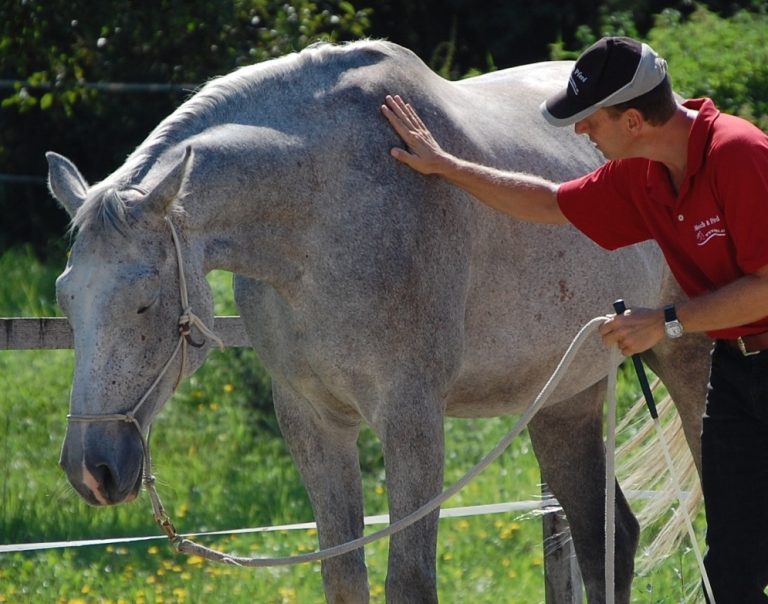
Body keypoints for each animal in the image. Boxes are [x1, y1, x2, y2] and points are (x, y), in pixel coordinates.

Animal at [48, 40, 712, 600]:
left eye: (144, 301)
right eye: (66, 299)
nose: (91, 469)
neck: (326, 209)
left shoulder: (411, 418)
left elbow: (410, 581)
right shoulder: (312, 422)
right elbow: (344, 577)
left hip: (686, 363)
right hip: (564, 399)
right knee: (607, 539)